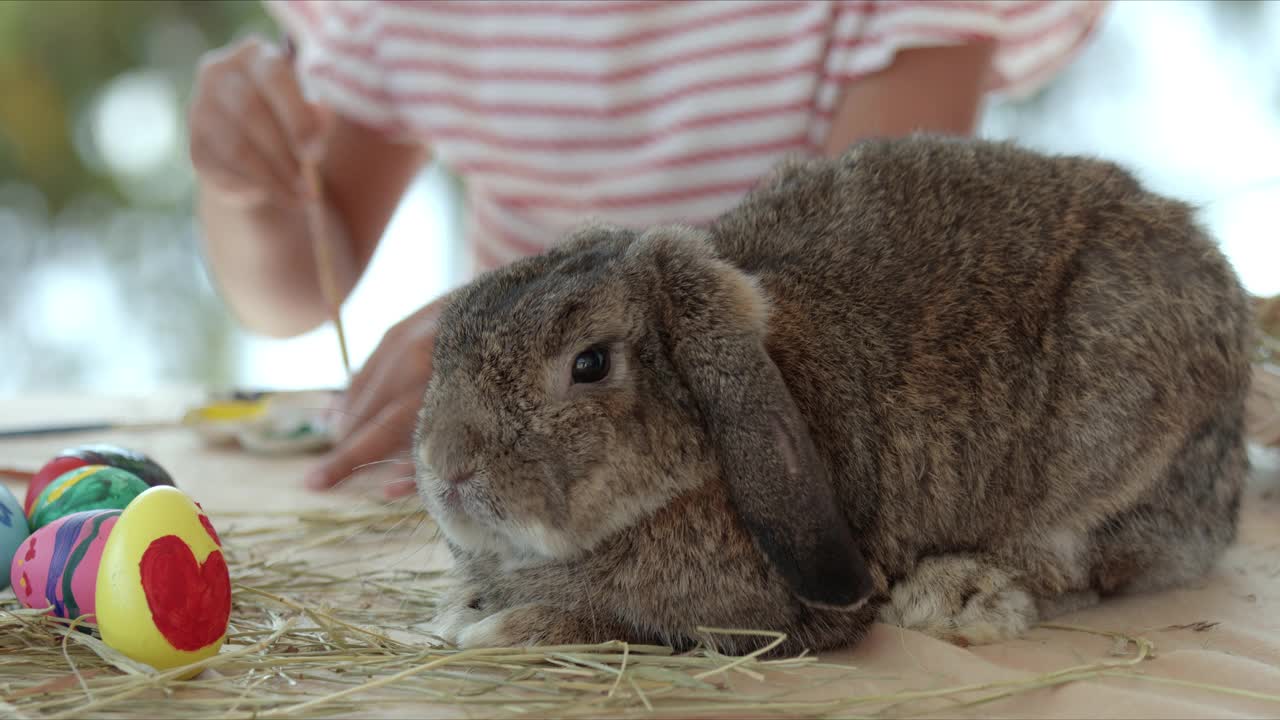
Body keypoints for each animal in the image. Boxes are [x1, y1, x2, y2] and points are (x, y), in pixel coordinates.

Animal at [414, 131, 1254, 653]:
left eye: (589, 364)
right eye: (449, 334)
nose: (448, 467)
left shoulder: (750, 623)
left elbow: (613, 624)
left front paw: (496, 629)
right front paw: (462, 608)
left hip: (1110, 457)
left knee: (1086, 567)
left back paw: (955, 597)